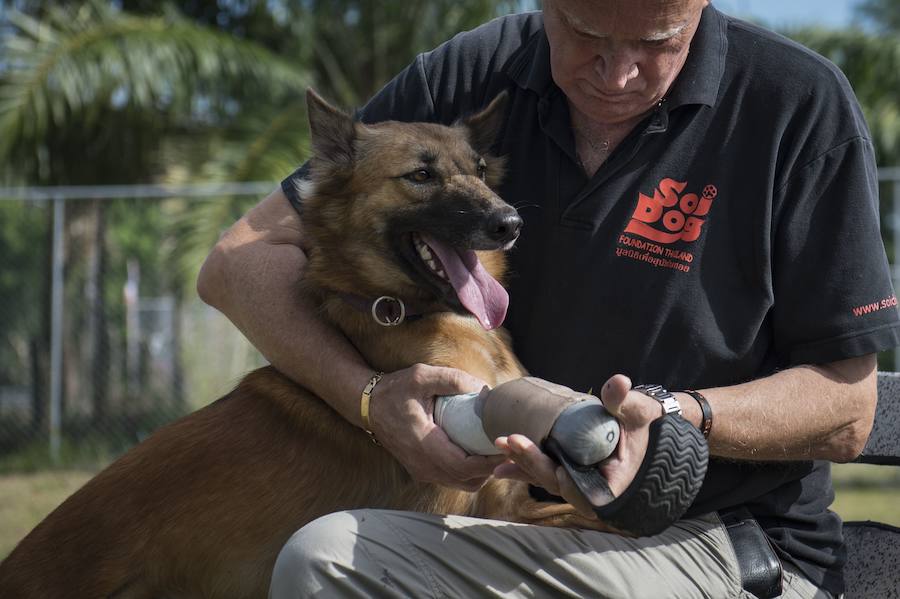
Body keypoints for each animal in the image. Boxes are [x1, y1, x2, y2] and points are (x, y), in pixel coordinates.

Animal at [0, 90, 596, 599]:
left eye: (479, 171)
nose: (509, 222)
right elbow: (590, 515)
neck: (408, 309)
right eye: (421, 175)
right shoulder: (489, 503)